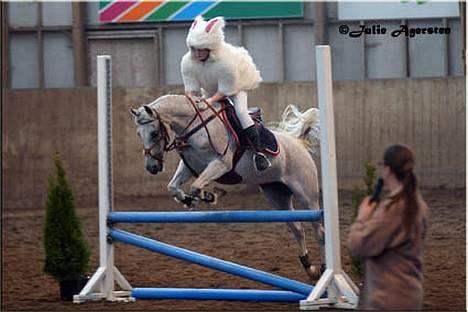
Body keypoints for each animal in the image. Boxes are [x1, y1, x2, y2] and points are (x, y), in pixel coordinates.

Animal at [130, 94, 324, 280]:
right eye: (138, 134)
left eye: (154, 133)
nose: (152, 167)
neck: (194, 126)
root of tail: (298, 143)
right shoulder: (190, 166)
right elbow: (173, 187)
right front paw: (190, 201)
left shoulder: (221, 164)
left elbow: (195, 187)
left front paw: (209, 196)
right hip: (277, 197)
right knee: (298, 230)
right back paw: (310, 268)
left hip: (306, 196)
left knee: (319, 230)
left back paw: (322, 268)